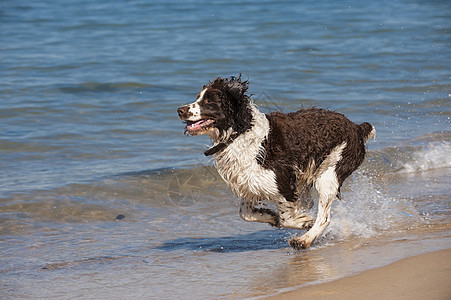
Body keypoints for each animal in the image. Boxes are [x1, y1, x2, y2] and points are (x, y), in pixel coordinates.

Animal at [178, 76, 376, 250]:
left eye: (209, 101)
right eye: (198, 97)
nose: (180, 110)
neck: (240, 131)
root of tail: (356, 127)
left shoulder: (282, 180)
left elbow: (287, 217)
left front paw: (304, 222)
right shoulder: (250, 182)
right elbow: (245, 214)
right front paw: (272, 217)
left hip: (329, 174)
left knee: (325, 217)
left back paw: (303, 241)